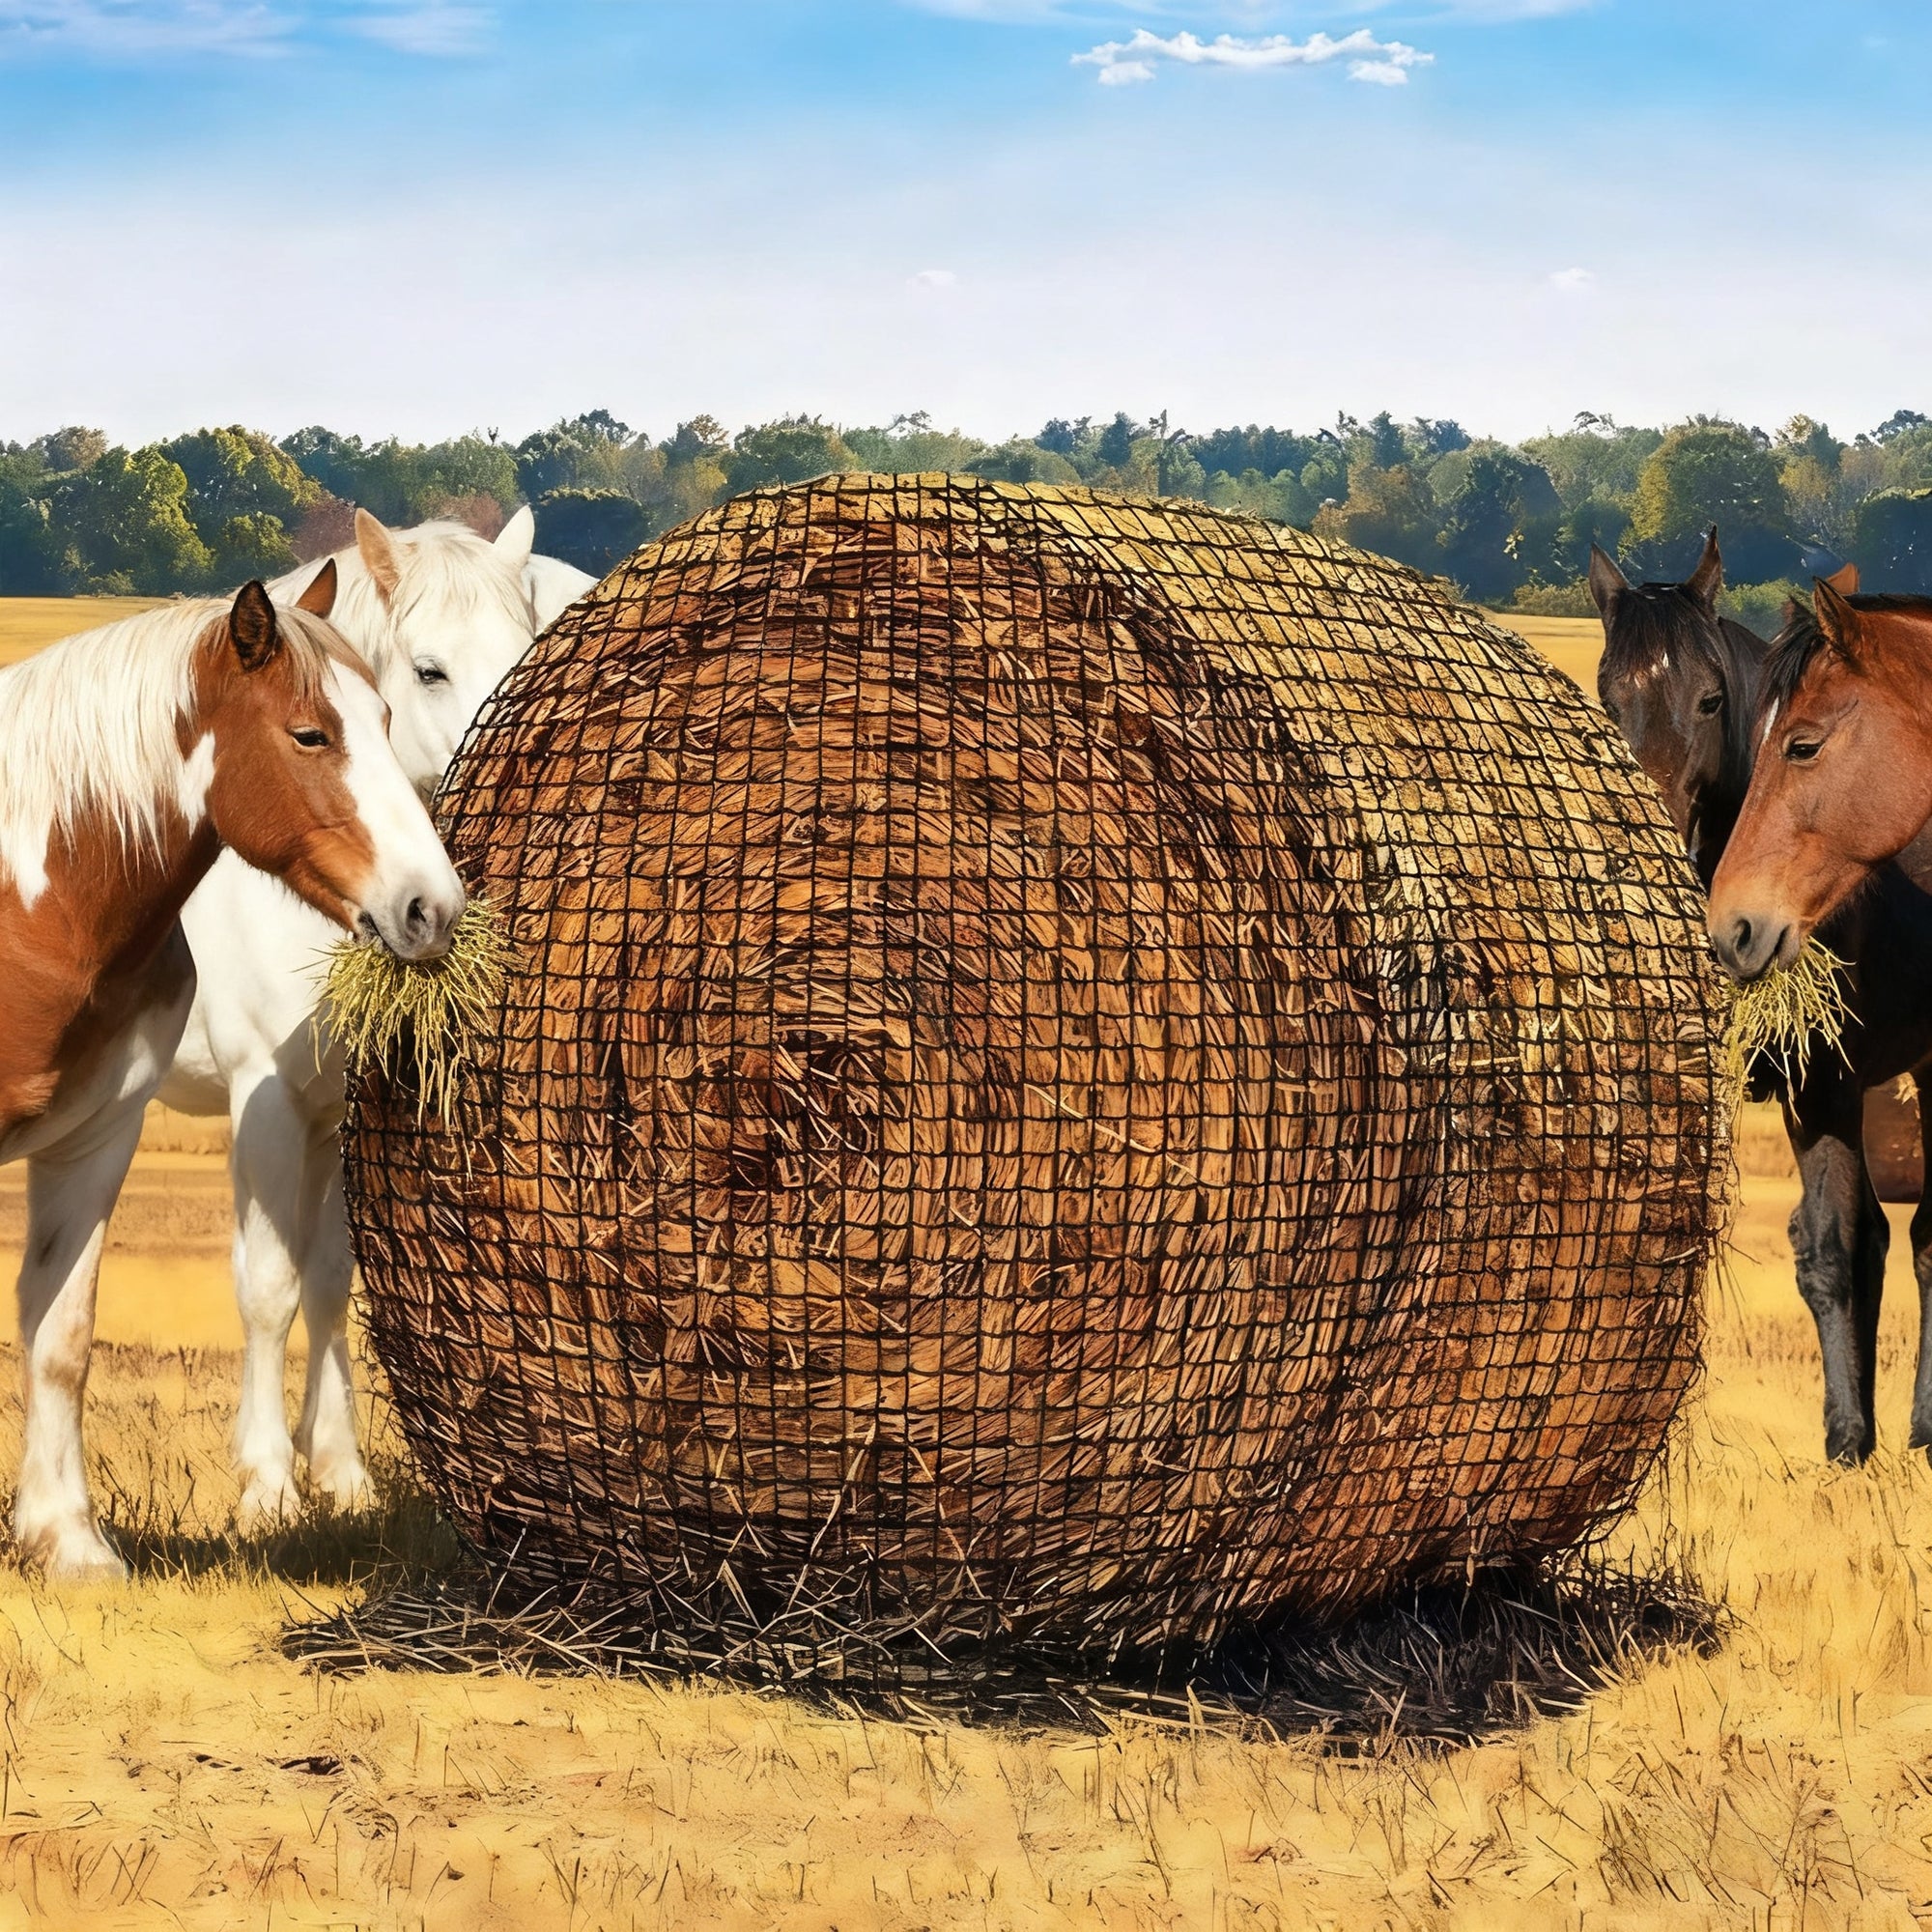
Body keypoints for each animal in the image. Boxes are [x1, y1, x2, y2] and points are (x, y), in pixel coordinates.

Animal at [0, 576, 463, 1578]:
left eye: (384, 715)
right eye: (310, 734)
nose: (432, 908)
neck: (29, 900)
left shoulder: (98, 1140)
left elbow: (62, 1334)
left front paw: (69, 1544)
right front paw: (272, 1489)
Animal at [156, 509, 595, 1529]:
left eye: (528, 644)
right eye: (428, 671)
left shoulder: (337, 1111)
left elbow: (327, 1281)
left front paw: (341, 1473)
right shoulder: (268, 1101)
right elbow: (268, 1286)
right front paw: (268, 1486)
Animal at [1595, 545, 1932, 1461]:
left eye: (1712, 699)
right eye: (1607, 696)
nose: (1733, 926)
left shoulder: (1831, 1081)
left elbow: (1859, 1244)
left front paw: (1868, 1442)